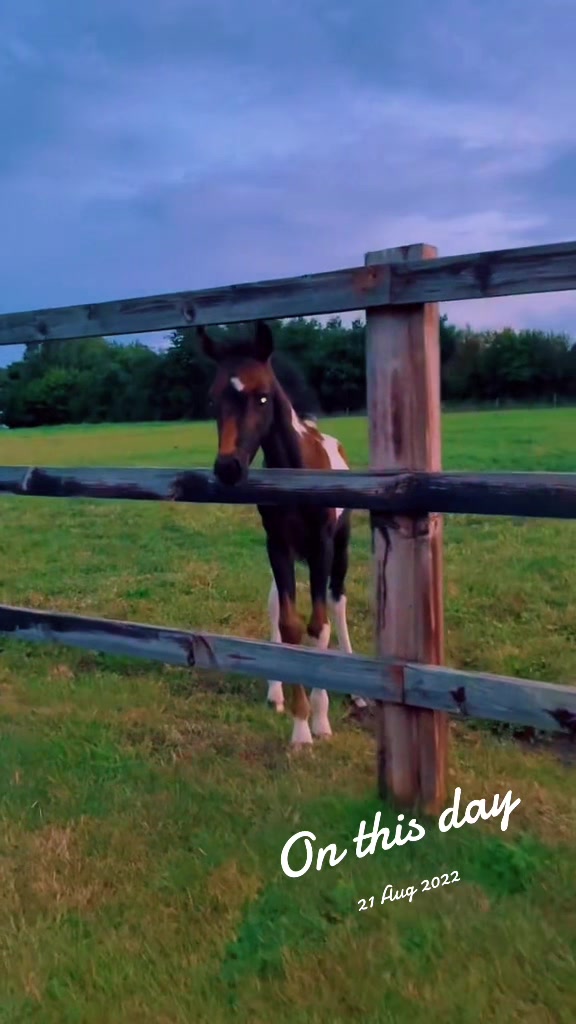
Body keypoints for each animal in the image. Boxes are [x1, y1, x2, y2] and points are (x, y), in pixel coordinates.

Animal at [199, 319, 367, 747]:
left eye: (261, 397)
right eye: (213, 400)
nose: (228, 468)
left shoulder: (322, 547)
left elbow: (319, 626)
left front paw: (320, 721)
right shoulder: (278, 546)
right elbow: (289, 623)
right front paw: (300, 725)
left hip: (340, 548)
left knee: (338, 602)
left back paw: (358, 692)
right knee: (276, 603)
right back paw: (276, 692)